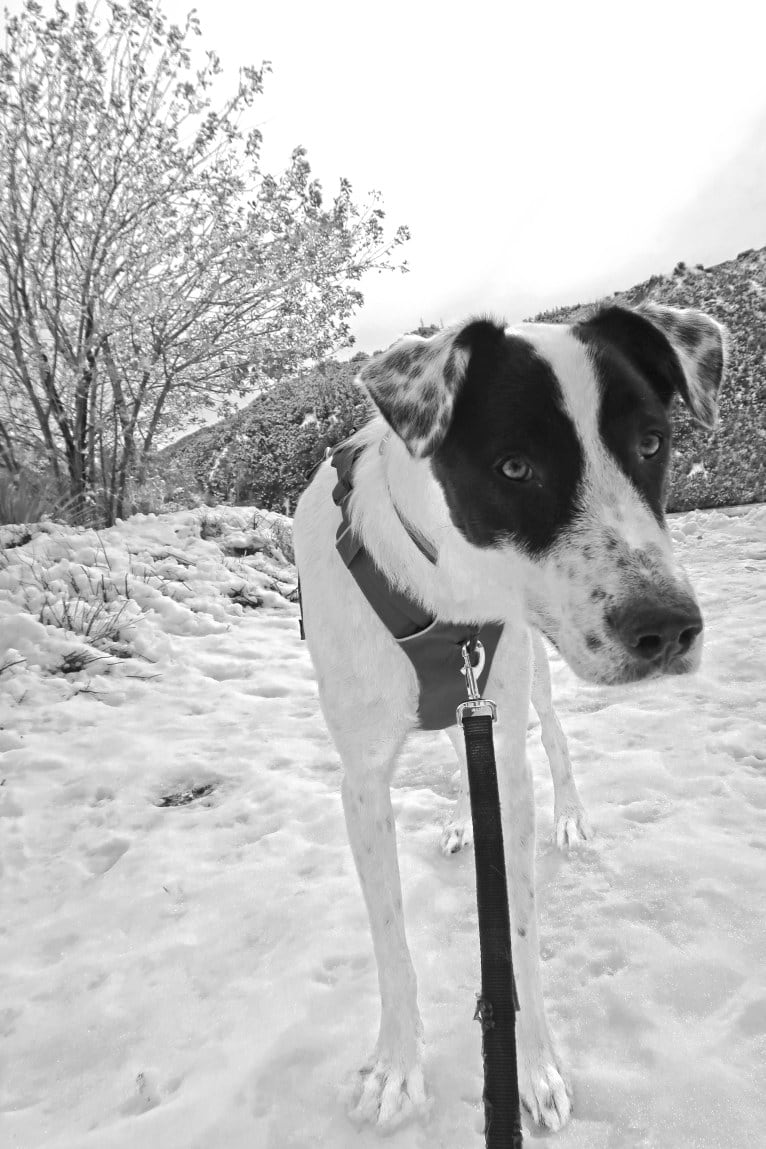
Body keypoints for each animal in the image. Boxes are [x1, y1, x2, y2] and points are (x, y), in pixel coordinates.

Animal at [291, 303, 725, 1130]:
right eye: (514, 467)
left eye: (651, 443)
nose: (667, 628)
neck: (450, 600)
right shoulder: (361, 781)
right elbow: (390, 941)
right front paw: (398, 1064)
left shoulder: (506, 740)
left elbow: (517, 933)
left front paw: (533, 1065)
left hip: (533, 683)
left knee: (550, 738)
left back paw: (570, 814)